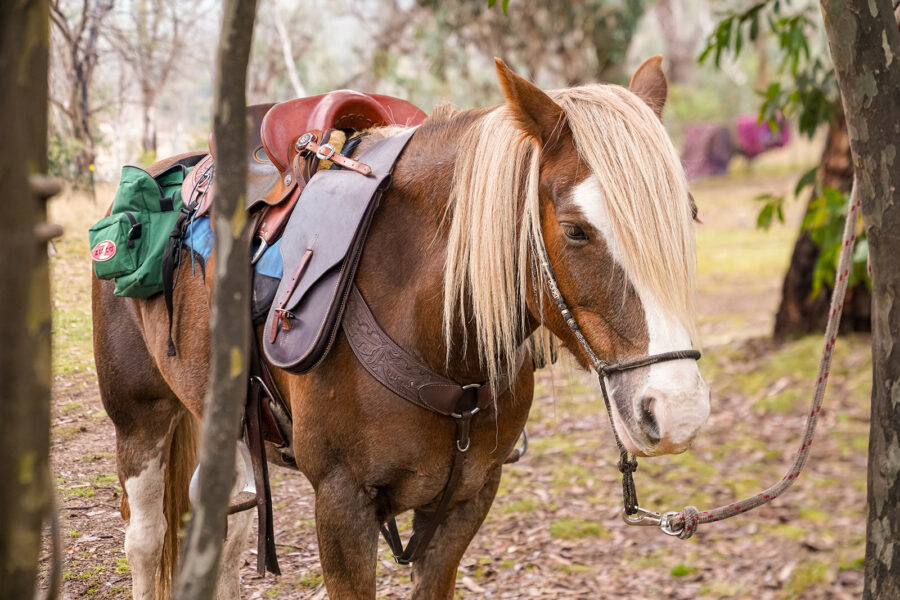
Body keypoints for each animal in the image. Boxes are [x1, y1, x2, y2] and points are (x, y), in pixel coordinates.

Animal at [91, 55, 710, 599]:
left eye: (689, 215)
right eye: (577, 230)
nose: (677, 410)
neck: (437, 340)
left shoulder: (466, 499)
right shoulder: (341, 504)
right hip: (140, 419)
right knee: (146, 538)